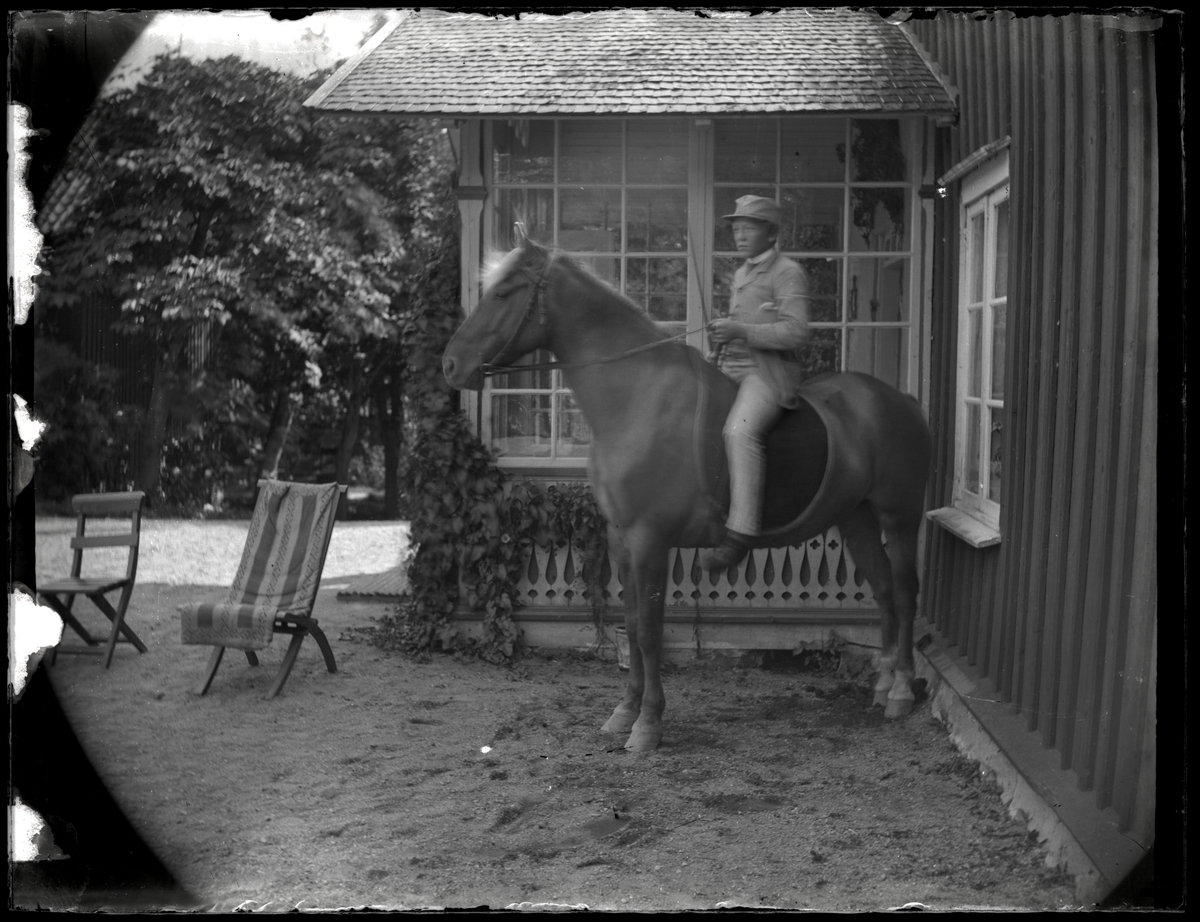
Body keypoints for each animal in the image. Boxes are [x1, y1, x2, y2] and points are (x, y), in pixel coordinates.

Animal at [443, 236, 932, 752]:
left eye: (503, 293)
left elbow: (651, 632)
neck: (636, 395)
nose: (450, 364)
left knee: (904, 592)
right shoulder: (622, 540)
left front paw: (648, 723)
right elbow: (632, 623)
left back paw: (901, 688)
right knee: (883, 590)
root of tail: (900, 400)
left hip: (899, 518)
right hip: (857, 518)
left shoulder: (650, 540)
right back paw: (883, 684)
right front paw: (625, 711)